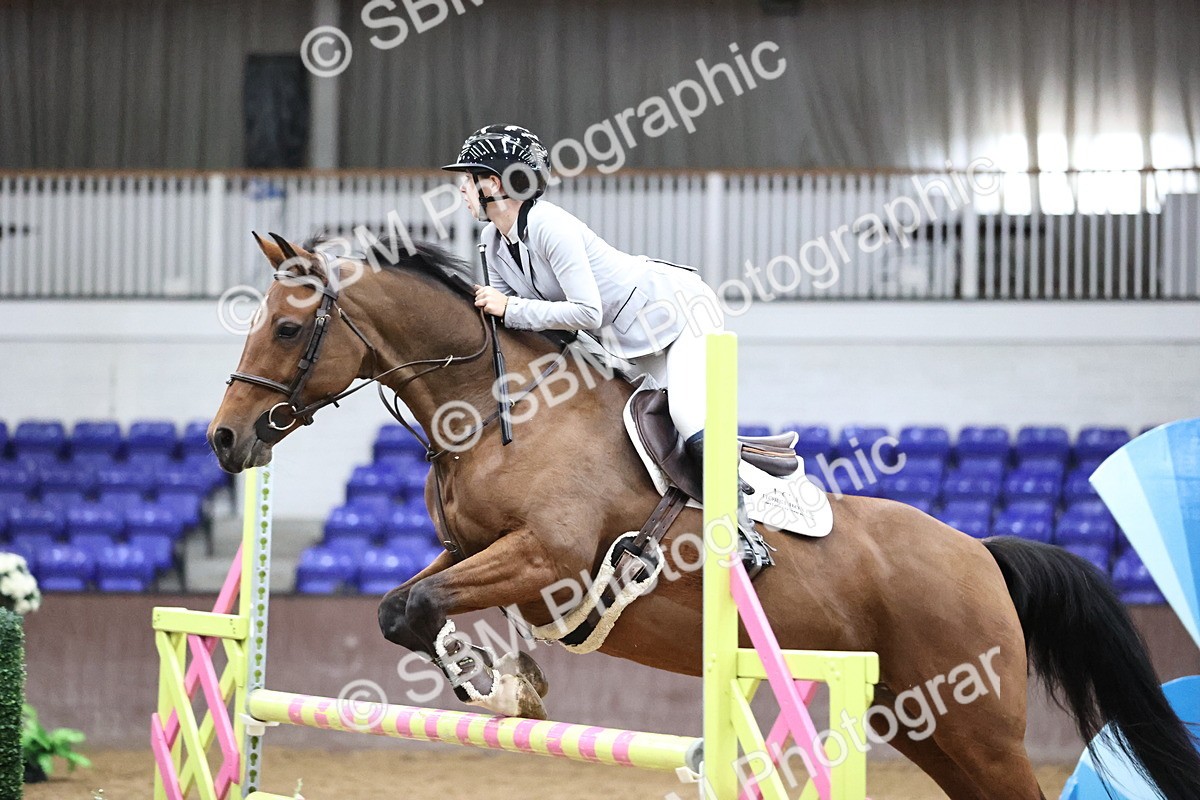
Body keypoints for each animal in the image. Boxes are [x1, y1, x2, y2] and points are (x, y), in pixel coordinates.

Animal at [208, 233, 1200, 800]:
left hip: (978, 723)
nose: (225, 439)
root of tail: (982, 551)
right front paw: (507, 685)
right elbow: (399, 606)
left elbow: (414, 607)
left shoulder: (545, 557)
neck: (496, 409)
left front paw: (497, 688)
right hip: (924, 721)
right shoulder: (473, 552)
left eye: (289, 330)